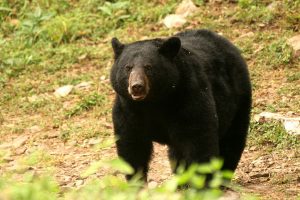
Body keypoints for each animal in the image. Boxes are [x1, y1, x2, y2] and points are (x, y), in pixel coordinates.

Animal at [109, 29, 251, 181]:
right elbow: (132, 147)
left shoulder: (188, 97)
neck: (153, 102)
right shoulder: (128, 109)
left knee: (232, 140)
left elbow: (198, 140)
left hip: (238, 97)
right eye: (128, 68)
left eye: (148, 67)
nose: (137, 86)